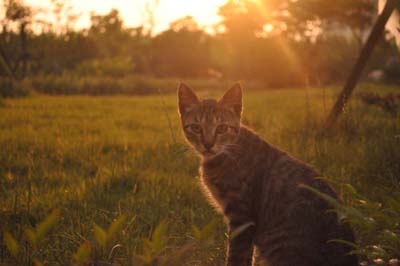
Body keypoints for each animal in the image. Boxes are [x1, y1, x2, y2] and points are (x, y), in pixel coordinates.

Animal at [177, 83, 358, 266]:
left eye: (221, 128)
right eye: (196, 128)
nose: (208, 144)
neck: (226, 154)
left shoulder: (241, 217)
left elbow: (236, 256)